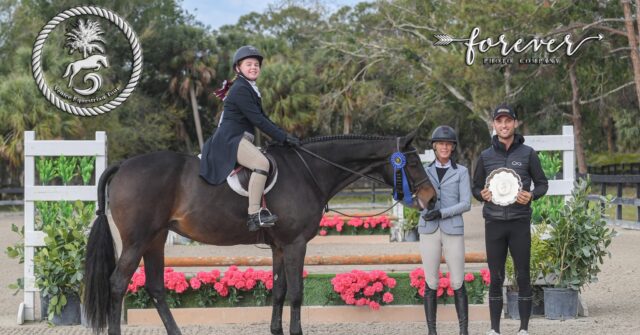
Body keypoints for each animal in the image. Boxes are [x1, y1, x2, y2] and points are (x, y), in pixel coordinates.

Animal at [82, 133, 436, 334]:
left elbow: (278, 291)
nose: (431, 199)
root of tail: (123, 165)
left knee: (155, 287)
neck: (309, 171)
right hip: (137, 240)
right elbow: (296, 293)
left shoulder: (280, 246)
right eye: (413, 163)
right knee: (118, 283)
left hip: (155, 240)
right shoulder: (295, 244)